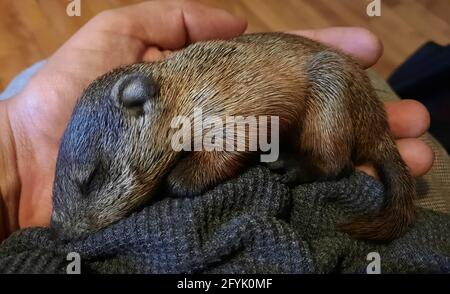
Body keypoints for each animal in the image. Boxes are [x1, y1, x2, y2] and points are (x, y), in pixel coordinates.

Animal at [51, 33, 416, 242]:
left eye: (90, 178)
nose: (60, 234)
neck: (182, 87)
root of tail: (378, 125)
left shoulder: (233, 111)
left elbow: (230, 147)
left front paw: (181, 178)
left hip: (329, 95)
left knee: (336, 162)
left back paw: (291, 165)